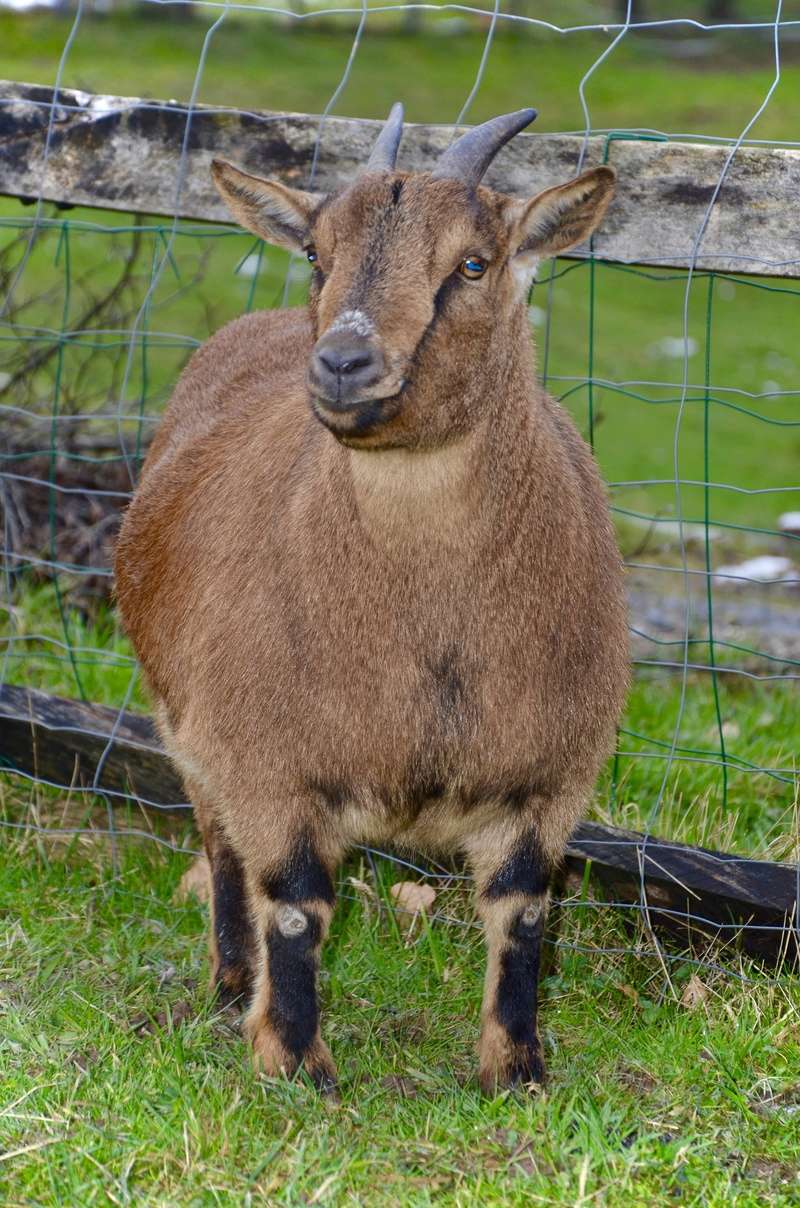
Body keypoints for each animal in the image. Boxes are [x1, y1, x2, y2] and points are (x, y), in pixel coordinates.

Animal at [116, 106, 633, 1096]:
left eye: (473, 263)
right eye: (317, 253)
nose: (344, 363)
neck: (427, 640)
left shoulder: (551, 773)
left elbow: (522, 913)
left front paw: (517, 1068)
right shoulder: (267, 756)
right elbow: (294, 907)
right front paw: (295, 1061)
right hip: (187, 719)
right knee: (220, 843)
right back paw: (229, 979)